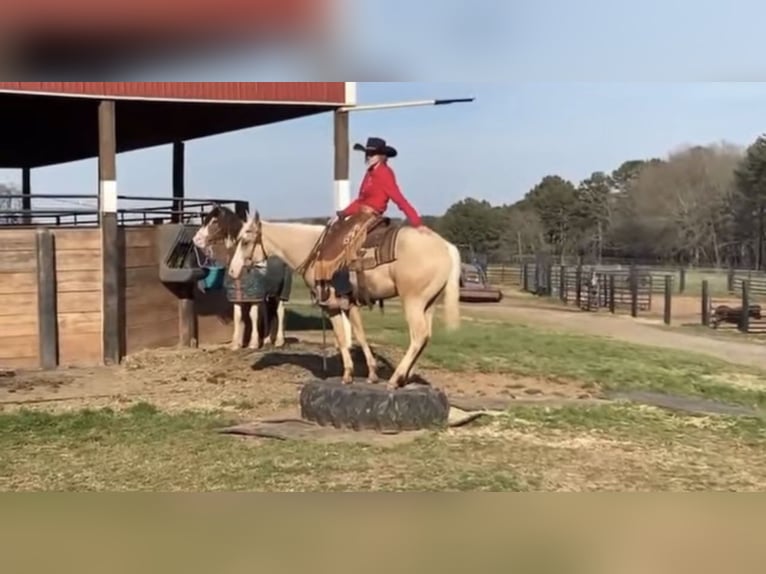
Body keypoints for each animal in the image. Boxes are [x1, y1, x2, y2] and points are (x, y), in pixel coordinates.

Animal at [192, 207, 294, 352]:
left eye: (214, 221)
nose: (196, 239)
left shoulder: (254, 296)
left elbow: (253, 315)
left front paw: (253, 343)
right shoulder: (238, 297)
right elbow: (238, 316)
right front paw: (236, 344)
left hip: (280, 293)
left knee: (280, 312)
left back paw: (279, 341)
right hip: (268, 295)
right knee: (268, 314)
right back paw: (267, 340)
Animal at [228, 212, 462, 392]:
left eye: (245, 242)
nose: (232, 270)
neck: (314, 250)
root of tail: (445, 246)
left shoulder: (332, 305)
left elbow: (346, 337)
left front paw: (354, 374)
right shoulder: (347, 305)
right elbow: (354, 335)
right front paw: (365, 373)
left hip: (412, 301)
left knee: (418, 335)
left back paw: (396, 379)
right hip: (428, 304)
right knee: (425, 336)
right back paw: (406, 377)